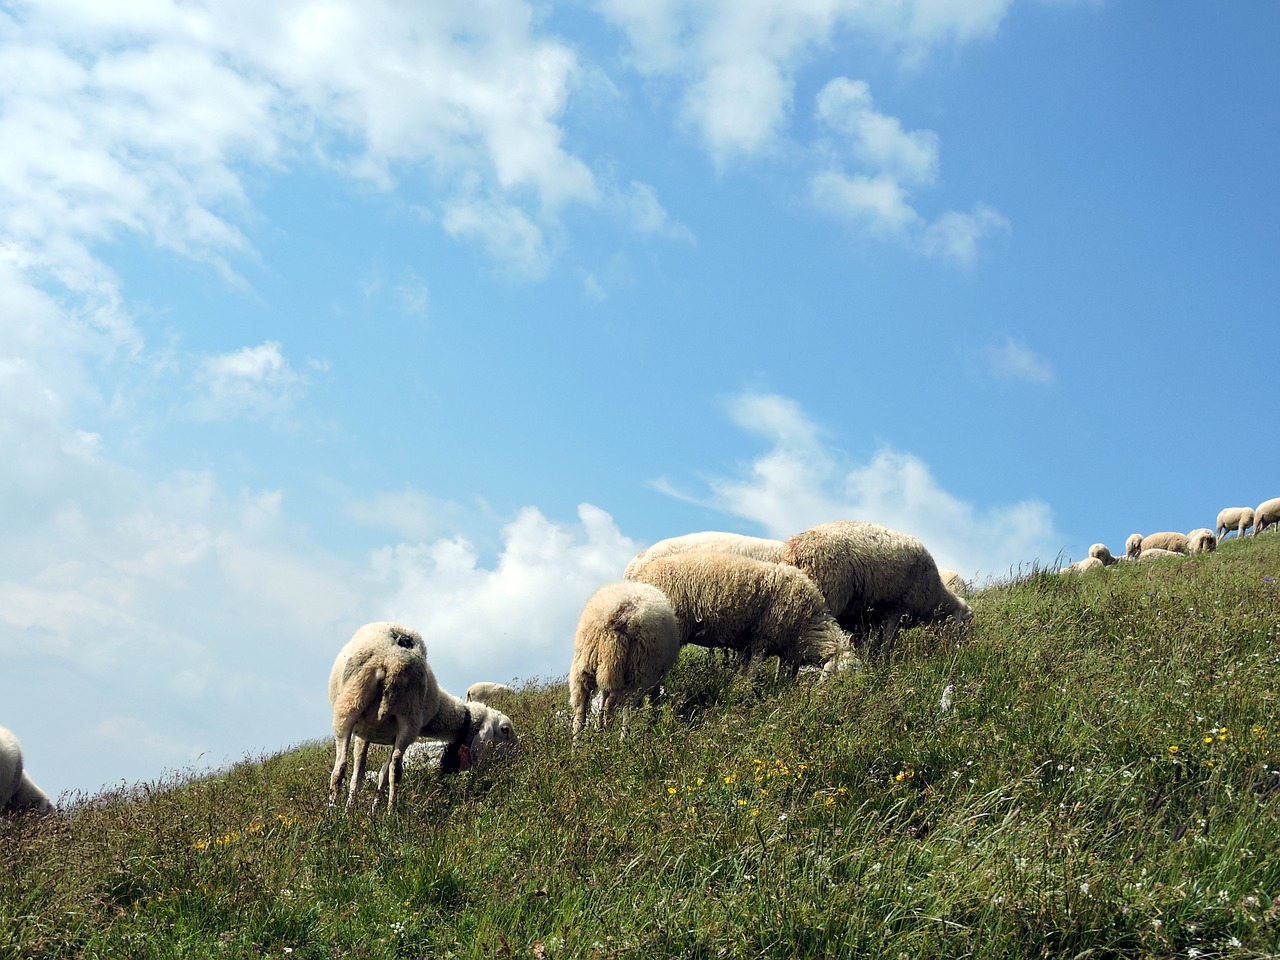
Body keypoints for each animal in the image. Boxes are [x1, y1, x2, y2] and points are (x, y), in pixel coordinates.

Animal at [330, 619, 519, 814]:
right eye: (505, 730)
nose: (516, 758)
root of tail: (392, 660)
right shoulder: (373, 733)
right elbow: (373, 773)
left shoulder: (367, 733)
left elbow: (367, 775)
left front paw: (361, 811)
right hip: (408, 718)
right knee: (394, 770)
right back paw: (389, 811)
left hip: (352, 706)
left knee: (342, 767)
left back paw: (337, 812)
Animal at [573, 578, 686, 737]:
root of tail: (621, 615)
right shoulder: (656, 676)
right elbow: (654, 700)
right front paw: (654, 722)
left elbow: (603, 700)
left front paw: (600, 726)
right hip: (638, 670)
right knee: (627, 708)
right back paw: (624, 738)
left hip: (586, 663)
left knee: (582, 705)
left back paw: (578, 740)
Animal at [773, 519, 972, 660]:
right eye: (963, 627)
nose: (962, 652)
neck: (936, 599)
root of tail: (796, 550)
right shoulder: (897, 611)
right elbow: (888, 644)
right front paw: (884, 664)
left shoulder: (870, 622)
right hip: (826, 596)